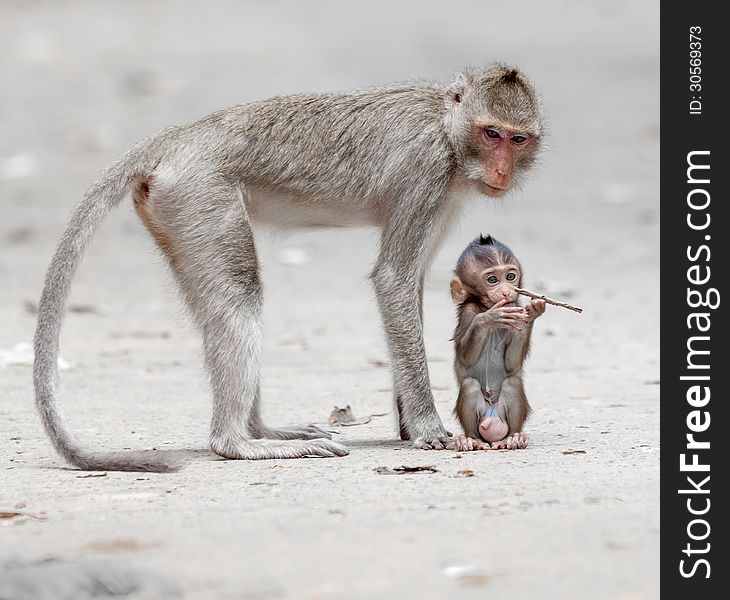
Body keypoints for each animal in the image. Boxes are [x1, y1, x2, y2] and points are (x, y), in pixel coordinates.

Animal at [446, 234, 544, 450]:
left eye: (510, 276)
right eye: (492, 280)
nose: (507, 292)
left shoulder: (513, 308)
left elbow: (512, 364)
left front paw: (532, 313)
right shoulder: (469, 312)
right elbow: (465, 357)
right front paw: (488, 318)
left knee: (513, 382)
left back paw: (514, 438)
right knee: (470, 385)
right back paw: (472, 439)